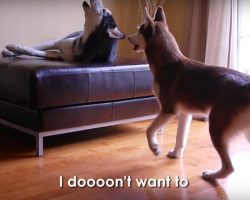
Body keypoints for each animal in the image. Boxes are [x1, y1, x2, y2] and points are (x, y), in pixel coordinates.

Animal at [129, 7, 250, 180]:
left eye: (140, 30)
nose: (128, 37)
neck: (168, 63)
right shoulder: (185, 113)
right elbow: (180, 137)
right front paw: (176, 154)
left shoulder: (168, 110)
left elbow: (149, 129)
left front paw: (154, 147)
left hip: (216, 127)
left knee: (229, 167)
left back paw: (212, 175)